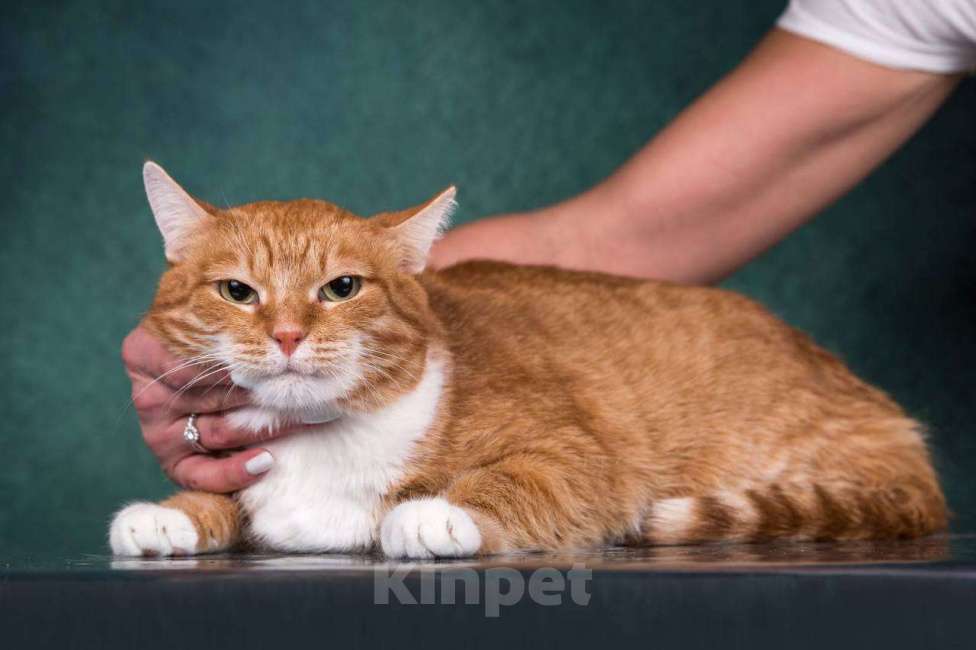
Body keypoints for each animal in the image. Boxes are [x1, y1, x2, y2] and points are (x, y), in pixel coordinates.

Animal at [110, 162, 948, 556]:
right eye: (238, 291)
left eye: (342, 288)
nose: (286, 334)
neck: (320, 445)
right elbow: (218, 502)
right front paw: (171, 514)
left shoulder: (581, 456)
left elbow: (515, 479)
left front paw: (436, 514)